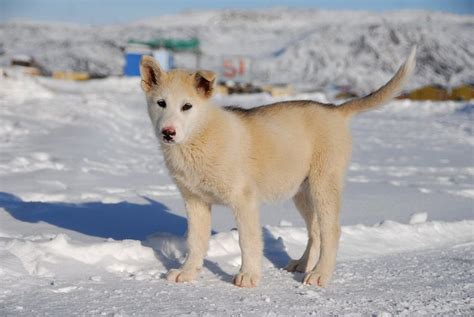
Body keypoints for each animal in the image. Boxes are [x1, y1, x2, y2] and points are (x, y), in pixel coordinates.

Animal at [140, 46, 414, 286]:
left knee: (331, 231)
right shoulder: (195, 201)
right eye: (161, 103)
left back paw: (320, 274)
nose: (168, 133)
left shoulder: (244, 200)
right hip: (302, 192)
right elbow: (195, 242)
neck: (200, 137)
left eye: (187, 106)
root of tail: (336, 110)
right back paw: (303, 264)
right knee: (315, 231)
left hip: (324, 185)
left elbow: (248, 241)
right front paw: (187, 272)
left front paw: (248, 276)